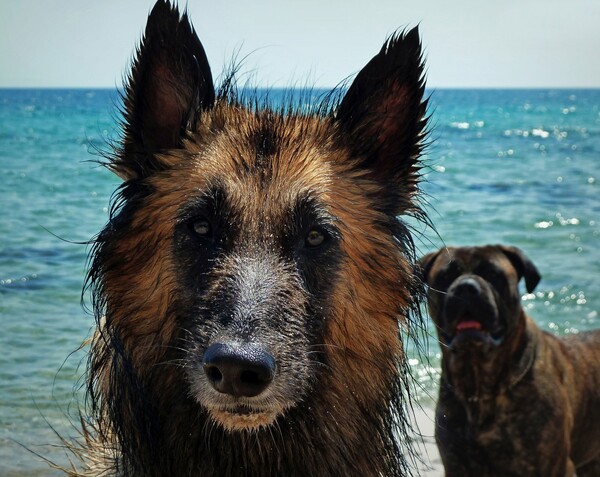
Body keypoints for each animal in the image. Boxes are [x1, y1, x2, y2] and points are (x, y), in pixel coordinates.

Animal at [420, 245, 600, 476]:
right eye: (446, 276)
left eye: (494, 275)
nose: (466, 288)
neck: (480, 386)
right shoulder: (456, 464)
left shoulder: (554, 466)